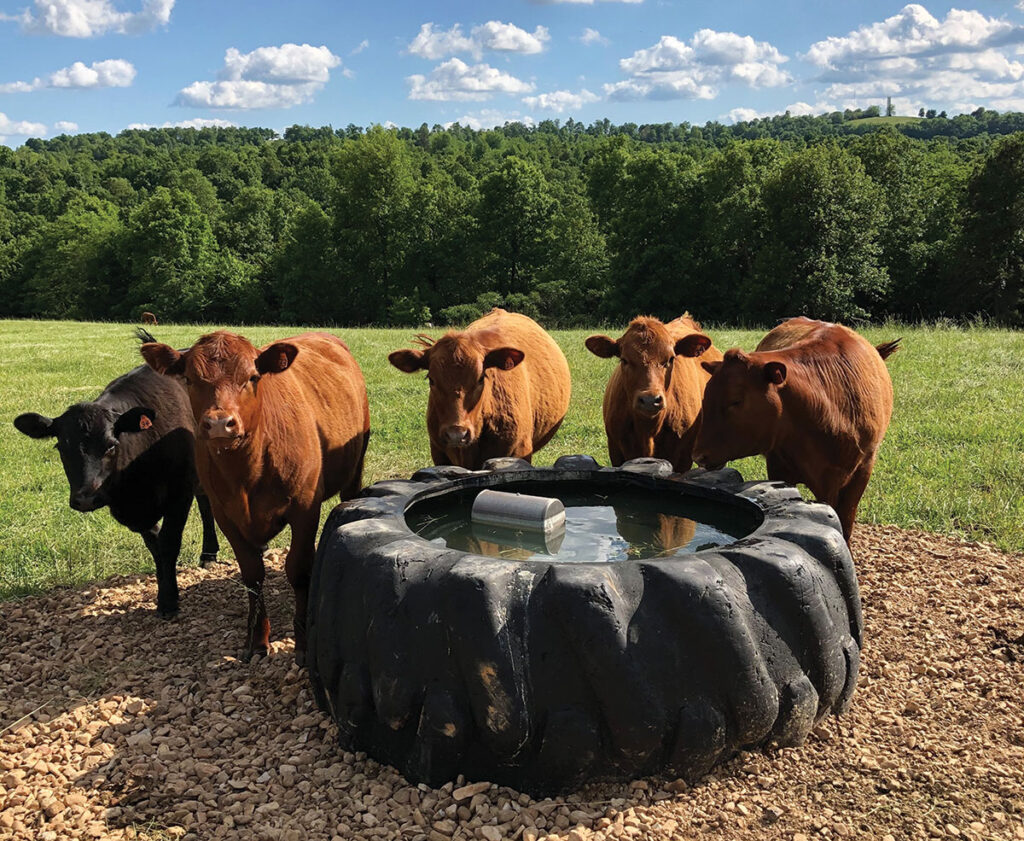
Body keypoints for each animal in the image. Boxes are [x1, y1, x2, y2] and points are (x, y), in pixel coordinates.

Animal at [14, 333, 219, 618]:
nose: (86, 498)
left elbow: (169, 543)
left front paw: (169, 602)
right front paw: (164, 591)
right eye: (60, 448)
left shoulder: (179, 491)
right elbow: (156, 547)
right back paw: (208, 553)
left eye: (111, 445)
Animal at [140, 331, 370, 659]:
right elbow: (252, 574)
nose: (220, 423)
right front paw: (258, 640)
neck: (246, 473)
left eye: (252, 377)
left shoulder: (305, 508)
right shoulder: (225, 516)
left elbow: (299, 568)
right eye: (189, 379)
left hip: (354, 469)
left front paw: (302, 642)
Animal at [585, 315, 729, 473]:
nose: (649, 400)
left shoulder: (684, 456)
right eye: (624, 360)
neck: (648, 432)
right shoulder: (615, 449)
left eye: (671, 359)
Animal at [688, 317, 897, 540]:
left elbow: (845, 525)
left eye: (735, 401)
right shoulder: (778, 466)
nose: (699, 455)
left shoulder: (863, 469)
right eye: (705, 397)